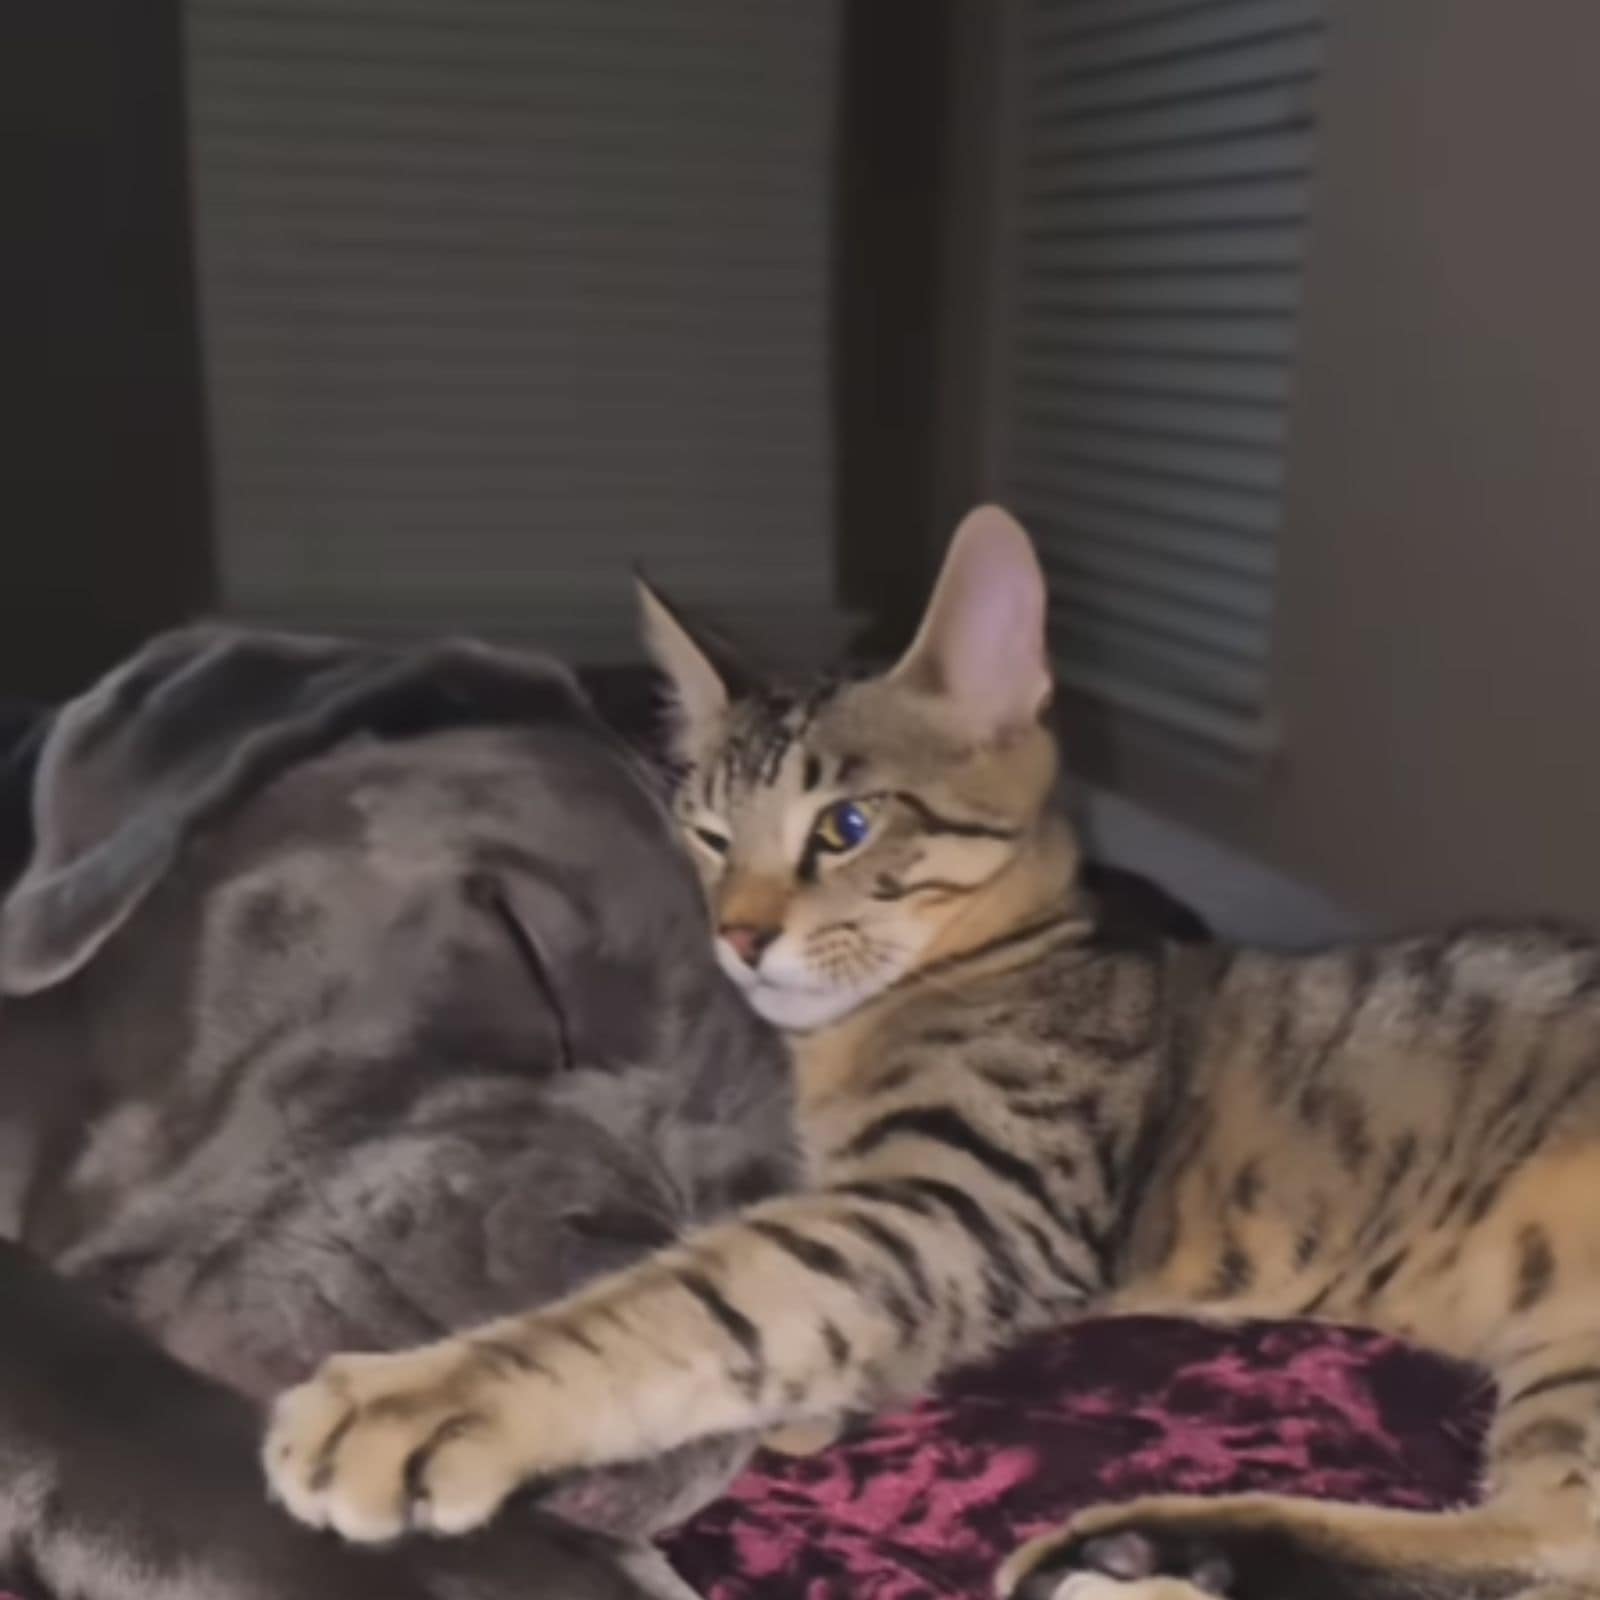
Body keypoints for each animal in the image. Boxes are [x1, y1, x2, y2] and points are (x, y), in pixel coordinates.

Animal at [268, 508, 1600, 1600]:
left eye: (846, 827)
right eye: (708, 834)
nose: (736, 936)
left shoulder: (965, 1201)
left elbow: (706, 1293)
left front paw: (422, 1393)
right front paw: (815, 1408)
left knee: (1559, 1544)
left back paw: (1142, 1563)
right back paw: (1159, 1554)